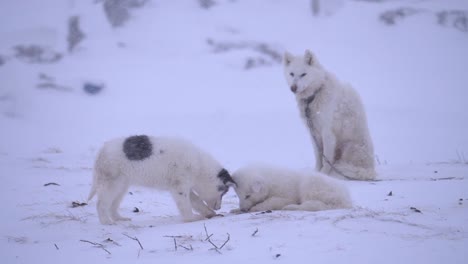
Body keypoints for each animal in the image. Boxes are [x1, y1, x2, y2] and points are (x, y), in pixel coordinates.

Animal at [87, 135, 236, 224]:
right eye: (224, 193)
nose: (219, 207)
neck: (200, 167)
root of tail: (101, 152)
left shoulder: (184, 187)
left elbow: (196, 201)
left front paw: (208, 213)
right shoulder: (179, 187)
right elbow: (185, 205)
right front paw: (192, 218)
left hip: (122, 185)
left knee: (113, 205)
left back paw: (120, 218)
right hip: (112, 183)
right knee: (101, 204)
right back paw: (107, 222)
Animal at [282, 49, 376, 180]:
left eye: (303, 74)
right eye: (291, 74)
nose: (293, 88)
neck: (315, 94)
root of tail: (370, 170)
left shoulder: (328, 133)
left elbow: (326, 160)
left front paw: (323, 175)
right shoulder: (314, 133)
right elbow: (318, 157)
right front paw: (316, 173)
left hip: (349, 148)